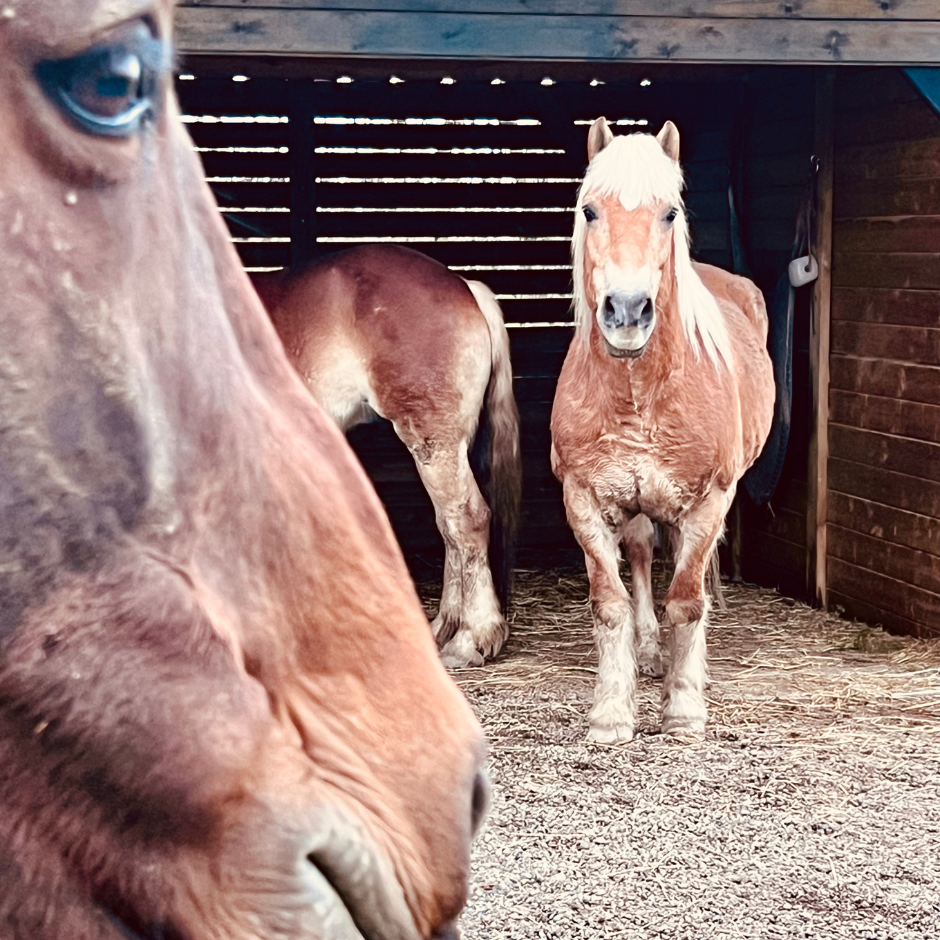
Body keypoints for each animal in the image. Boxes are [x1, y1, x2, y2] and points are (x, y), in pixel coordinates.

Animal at [253, 242, 524, 668]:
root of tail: (463, 286)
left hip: (433, 442)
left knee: (467, 521)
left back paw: (470, 639)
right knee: (449, 528)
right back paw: (443, 628)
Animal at [552, 119, 772, 740]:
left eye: (670, 213)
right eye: (589, 210)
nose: (627, 312)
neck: (638, 399)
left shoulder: (709, 501)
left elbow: (688, 600)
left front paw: (684, 708)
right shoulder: (584, 500)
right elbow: (611, 602)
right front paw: (611, 710)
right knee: (644, 554)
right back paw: (649, 653)